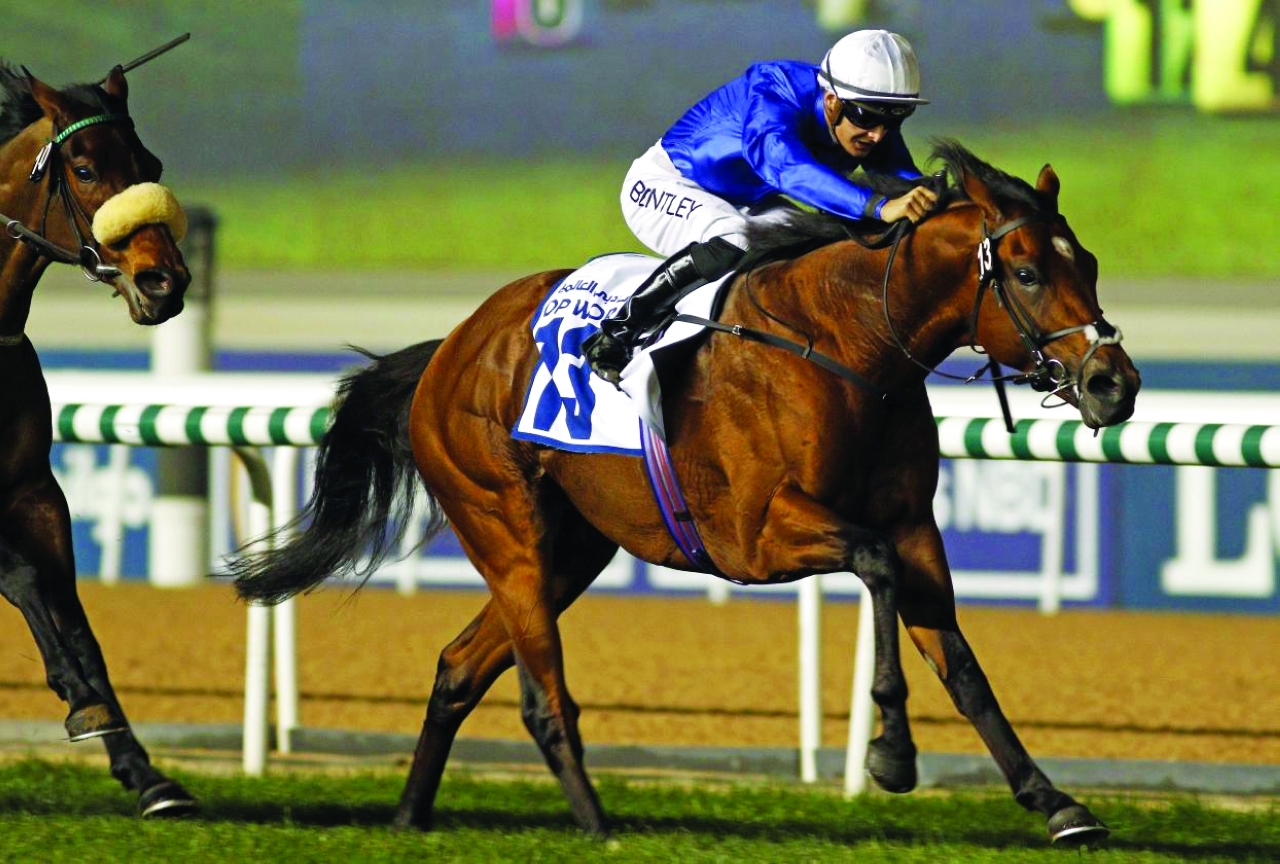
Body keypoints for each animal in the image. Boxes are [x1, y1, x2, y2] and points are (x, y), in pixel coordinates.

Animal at [0, 61, 195, 815]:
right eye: (83, 169)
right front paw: (80, 699)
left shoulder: (35, 491)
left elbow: (77, 619)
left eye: (151, 165)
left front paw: (146, 772)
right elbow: (23, 576)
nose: (164, 281)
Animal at [232, 140, 1140, 846]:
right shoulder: (756, 535)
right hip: (505, 527)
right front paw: (891, 753)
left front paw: (1056, 803)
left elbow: (963, 667)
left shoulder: (914, 524)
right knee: (541, 696)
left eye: (1091, 264)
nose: (1114, 384)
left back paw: (410, 817)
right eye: (1026, 271)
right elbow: (875, 566)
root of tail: (450, 347)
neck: (849, 343)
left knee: (460, 667)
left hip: (572, 549)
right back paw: (599, 826)